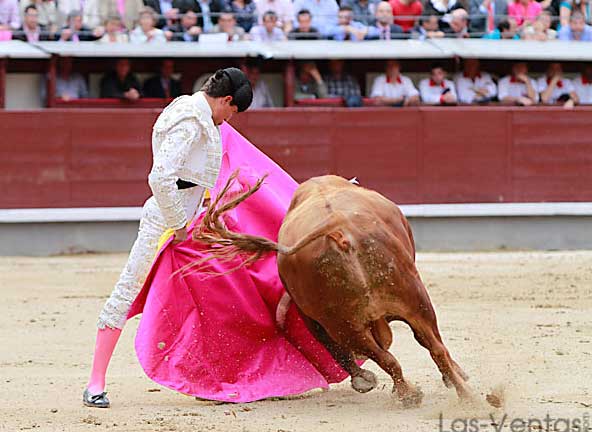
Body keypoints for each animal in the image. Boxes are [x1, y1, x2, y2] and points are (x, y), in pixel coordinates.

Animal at [197, 174, 474, 406]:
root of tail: (338, 230)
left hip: (379, 312)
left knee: (418, 350)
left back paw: (455, 396)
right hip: (382, 310)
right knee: (417, 349)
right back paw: (429, 395)